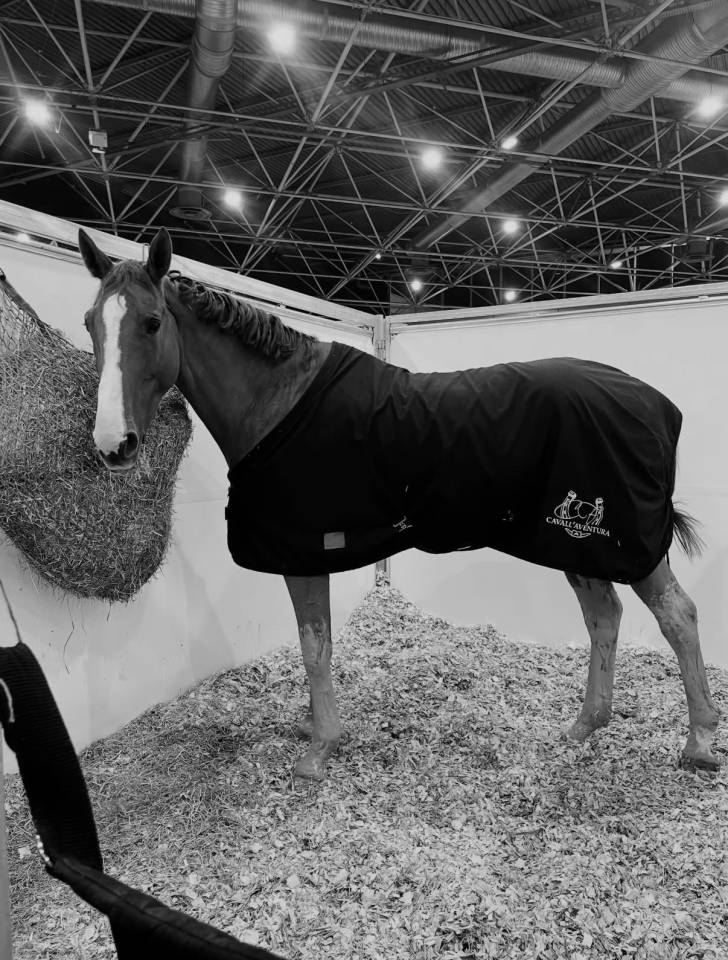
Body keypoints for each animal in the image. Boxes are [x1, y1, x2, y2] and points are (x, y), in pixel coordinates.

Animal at [77, 227, 720, 779]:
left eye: (152, 322)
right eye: (90, 323)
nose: (113, 444)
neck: (278, 402)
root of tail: (658, 405)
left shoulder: (304, 554)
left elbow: (314, 644)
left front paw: (319, 748)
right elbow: (318, 643)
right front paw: (314, 729)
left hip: (624, 545)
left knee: (678, 616)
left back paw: (700, 743)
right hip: (572, 542)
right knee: (603, 615)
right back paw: (587, 725)